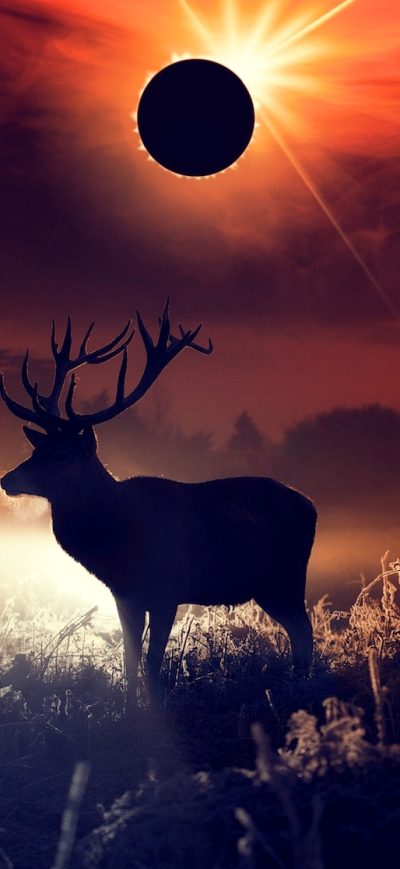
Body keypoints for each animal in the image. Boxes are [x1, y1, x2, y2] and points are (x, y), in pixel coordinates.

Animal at [0, 302, 316, 703]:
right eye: (35, 449)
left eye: (62, 455)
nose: (7, 479)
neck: (118, 537)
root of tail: (311, 505)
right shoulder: (125, 596)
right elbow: (129, 662)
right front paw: (128, 709)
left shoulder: (167, 591)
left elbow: (152, 666)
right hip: (273, 585)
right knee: (300, 632)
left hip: (285, 577)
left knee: (304, 631)